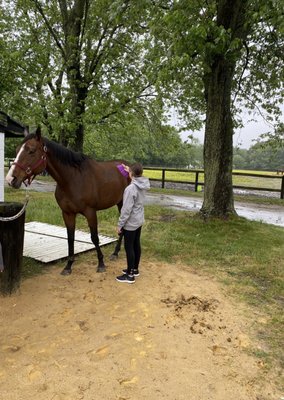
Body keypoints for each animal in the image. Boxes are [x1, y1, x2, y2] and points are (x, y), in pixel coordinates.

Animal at [5, 127, 130, 276]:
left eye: (32, 151)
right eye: (17, 150)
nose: (10, 179)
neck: (72, 179)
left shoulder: (90, 212)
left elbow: (94, 237)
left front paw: (101, 263)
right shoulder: (67, 213)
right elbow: (70, 238)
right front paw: (68, 266)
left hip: (124, 203)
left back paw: (115, 253)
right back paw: (115, 253)